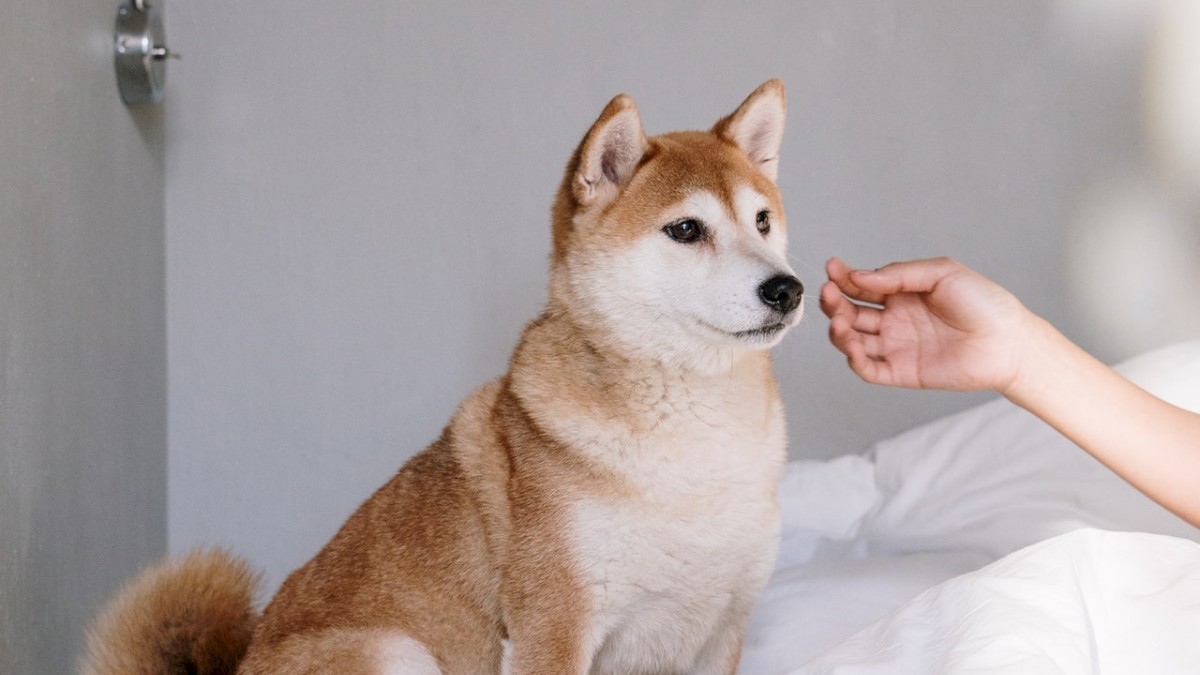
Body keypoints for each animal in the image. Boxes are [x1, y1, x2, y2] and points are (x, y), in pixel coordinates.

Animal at [84, 79, 806, 672]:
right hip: (396, 650)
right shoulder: (554, 628)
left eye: (762, 220)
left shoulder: (721, 632)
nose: (787, 289)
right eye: (685, 229)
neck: (695, 443)